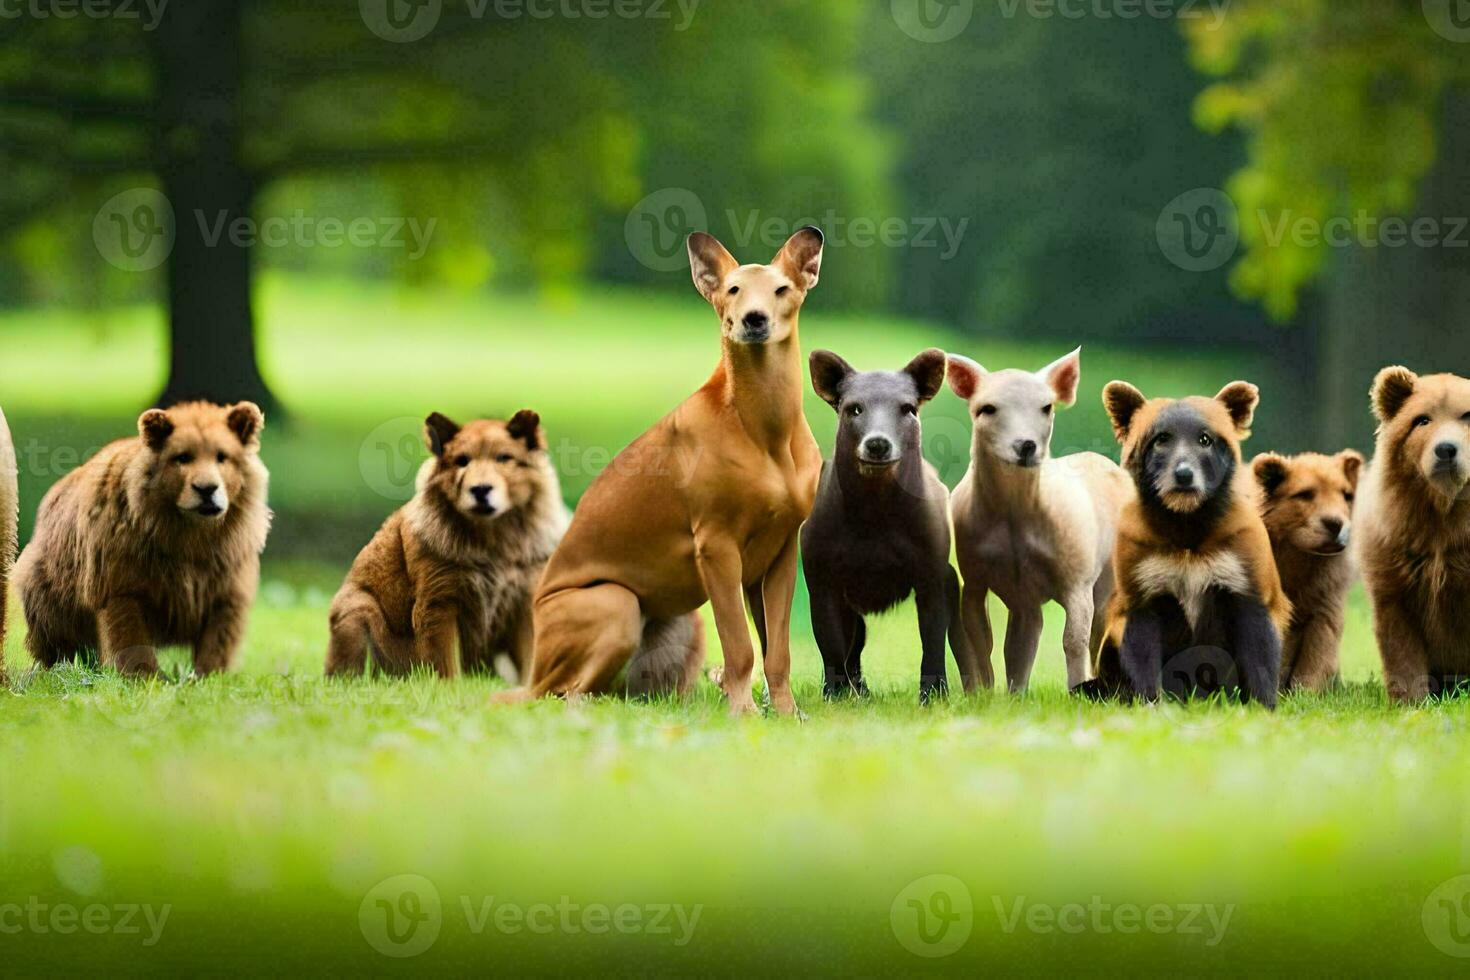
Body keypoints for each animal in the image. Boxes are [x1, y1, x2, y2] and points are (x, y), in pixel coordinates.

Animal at [327, 411, 567, 678]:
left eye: (504, 458)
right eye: (462, 461)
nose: (480, 489)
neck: (493, 542)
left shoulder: (524, 600)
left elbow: (531, 659)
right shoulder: (439, 603)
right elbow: (444, 664)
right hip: (358, 608)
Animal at [499, 227, 829, 717]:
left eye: (781, 290)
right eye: (733, 290)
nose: (753, 320)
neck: (765, 426)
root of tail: (534, 666)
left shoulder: (781, 552)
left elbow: (778, 651)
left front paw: (787, 714)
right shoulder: (716, 546)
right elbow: (740, 646)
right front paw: (743, 713)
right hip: (614, 604)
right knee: (561, 693)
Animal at [799, 348, 970, 702]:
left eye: (908, 408)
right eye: (854, 408)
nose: (878, 443)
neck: (874, 513)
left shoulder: (932, 576)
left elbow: (932, 639)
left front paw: (934, 695)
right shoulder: (821, 578)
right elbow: (830, 643)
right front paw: (836, 696)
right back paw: (858, 690)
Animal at [1346, 364, 1470, 702]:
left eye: (1466, 416)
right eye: (1422, 419)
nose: (1446, 450)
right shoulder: (1396, 554)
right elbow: (1400, 640)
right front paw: (1411, 698)